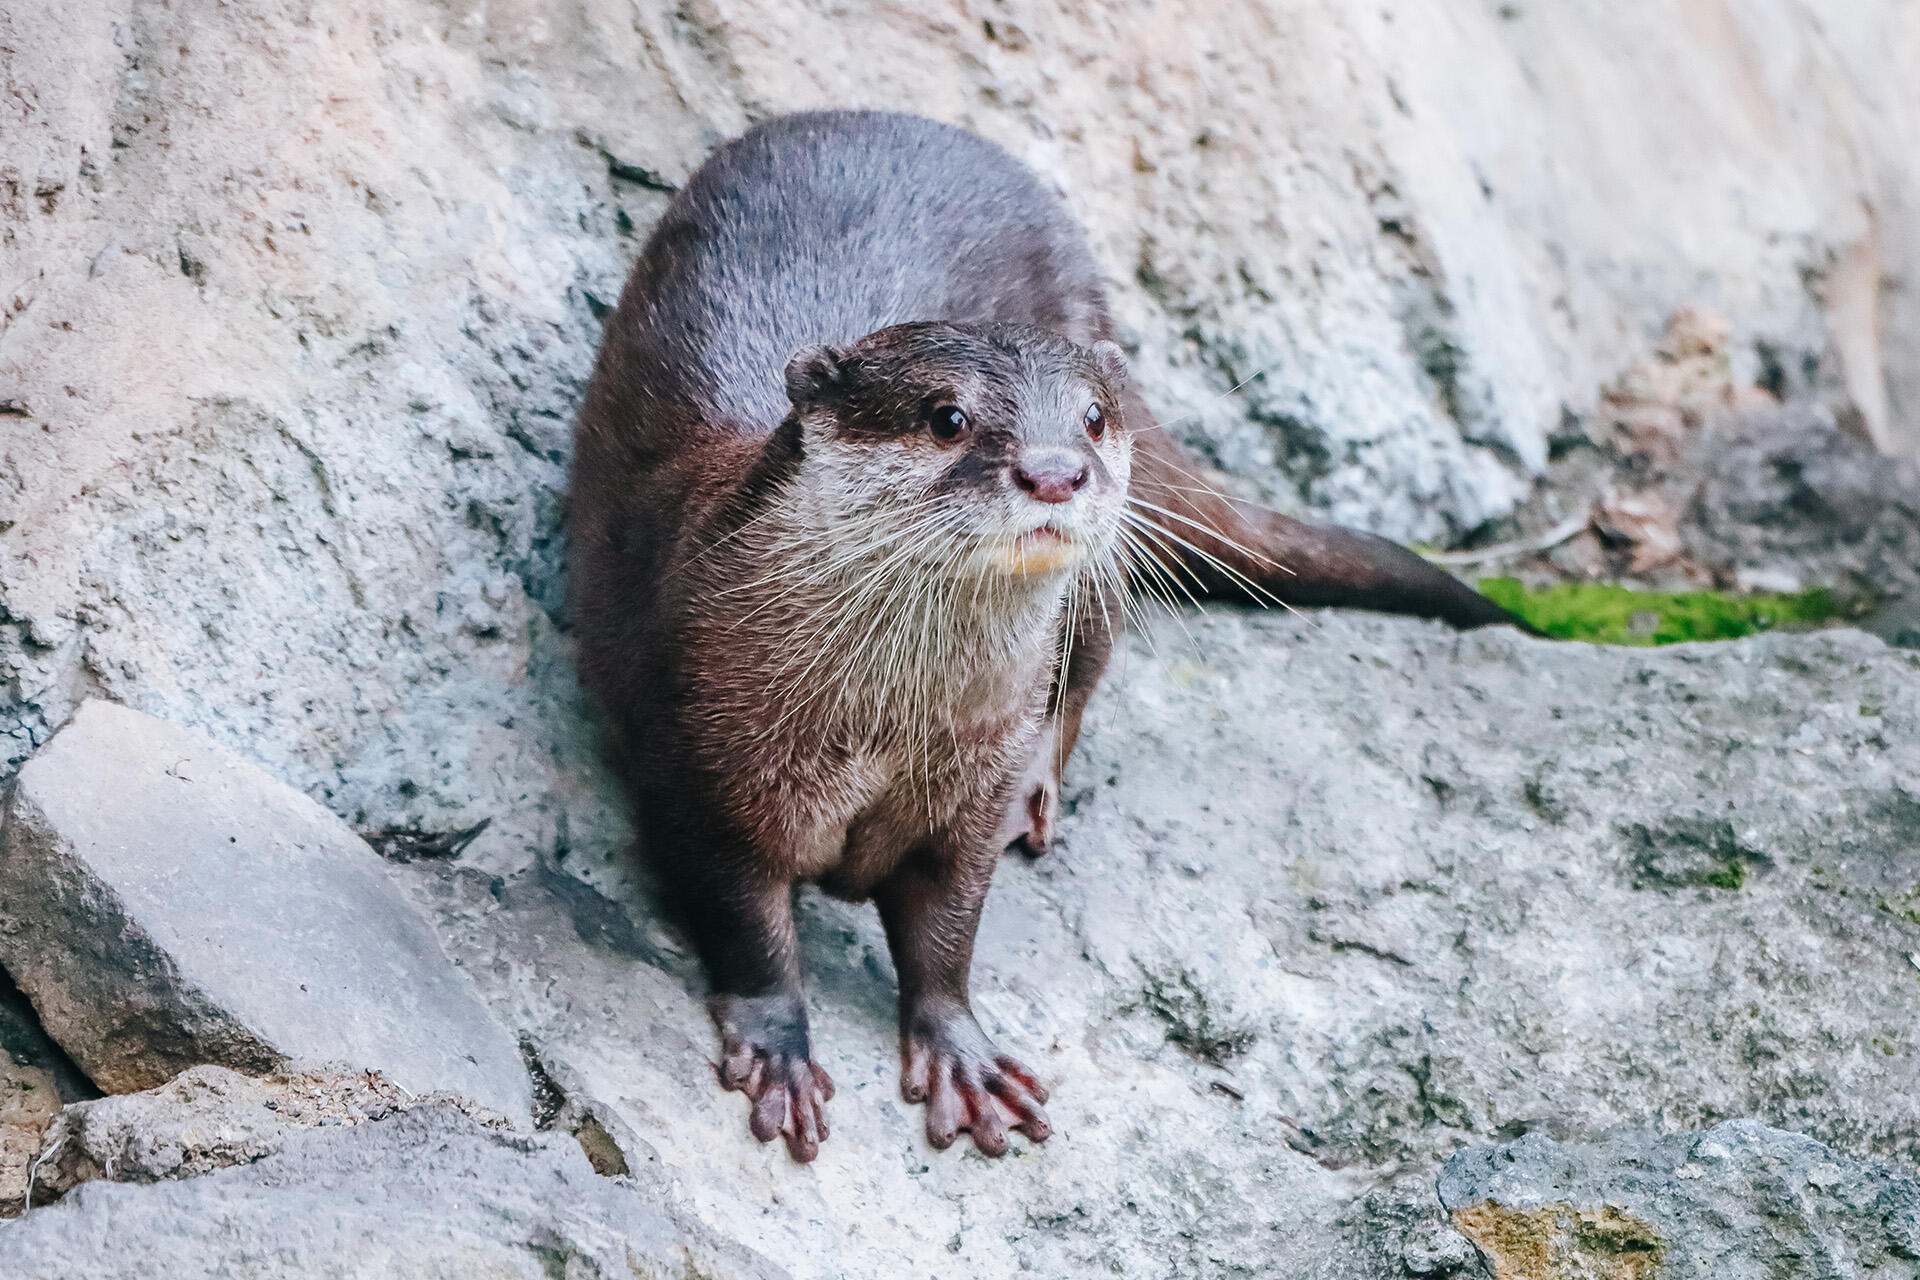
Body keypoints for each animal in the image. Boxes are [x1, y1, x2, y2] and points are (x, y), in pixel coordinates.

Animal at [570, 110, 1527, 1162]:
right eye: (947, 417)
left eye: (1092, 418)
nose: (1057, 471)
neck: (882, 724)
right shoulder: (697, 758)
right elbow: (745, 922)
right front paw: (781, 1047)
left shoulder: (967, 793)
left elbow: (950, 926)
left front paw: (960, 1051)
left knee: (1095, 648)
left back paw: (1041, 783)